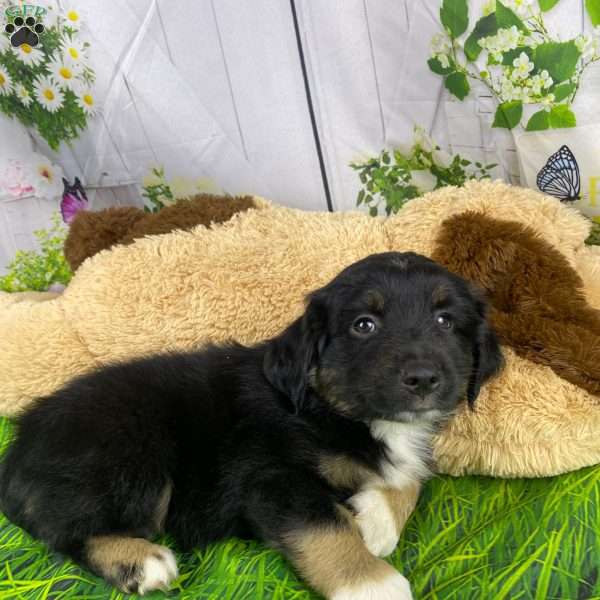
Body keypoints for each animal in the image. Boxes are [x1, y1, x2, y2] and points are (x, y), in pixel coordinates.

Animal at [0, 251, 502, 596]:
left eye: (445, 320)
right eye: (364, 325)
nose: (423, 379)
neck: (334, 409)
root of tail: (20, 446)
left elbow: (410, 477)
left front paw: (375, 519)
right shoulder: (268, 477)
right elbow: (325, 528)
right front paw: (371, 582)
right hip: (132, 454)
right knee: (61, 529)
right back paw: (140, 562)